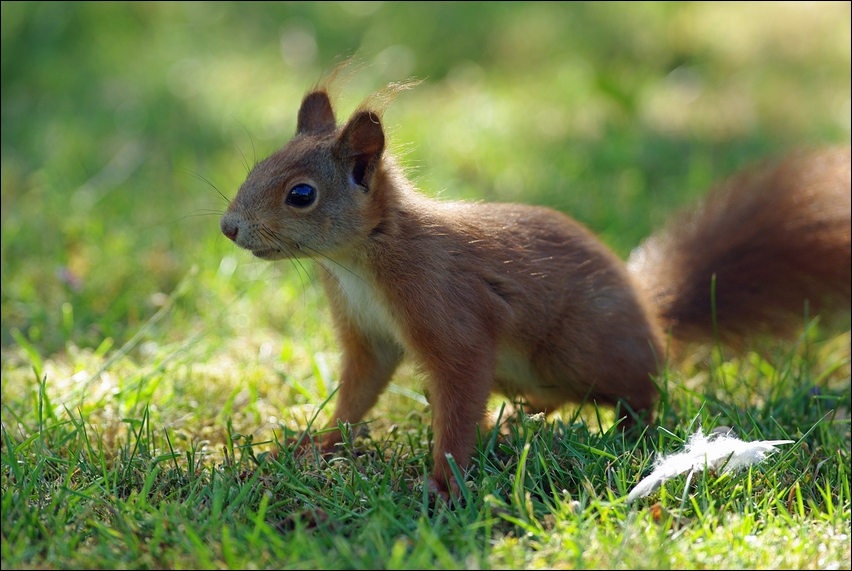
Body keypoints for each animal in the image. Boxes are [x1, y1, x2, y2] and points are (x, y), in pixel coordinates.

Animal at [221, 78, 852, 494]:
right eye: (257, 168)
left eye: (302, 194)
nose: (229, 227)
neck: (359, 262)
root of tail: (650, 311)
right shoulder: (368, 336)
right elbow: (357, 394)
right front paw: (313, 446)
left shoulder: (451, 311)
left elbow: (457, 397)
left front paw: (443, 486)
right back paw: (517, 418)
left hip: (581, 349)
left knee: (644, 392)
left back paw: (630, 433)